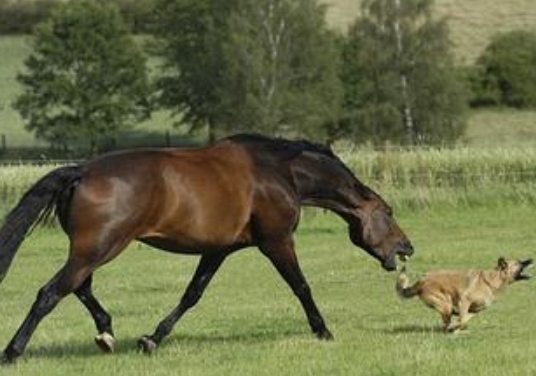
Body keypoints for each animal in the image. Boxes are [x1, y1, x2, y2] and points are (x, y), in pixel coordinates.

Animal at [0, 134, 414, 362]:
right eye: (389, 212)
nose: (407, 247)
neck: (279, 172)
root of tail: (81, 171)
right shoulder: (276, 241)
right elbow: (301, 286)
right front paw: (323, 331)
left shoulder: (219, 249)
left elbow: (192, 294)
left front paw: (151, 339)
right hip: (99, 248)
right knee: (51, 292)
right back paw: (13, 351)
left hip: (93, 249)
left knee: (78, 287)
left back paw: (106, 334)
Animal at [396, 258, 528, 330]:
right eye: (518, 263)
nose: (530, 260)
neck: (492, 280)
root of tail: (422, 280)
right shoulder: (464, 301)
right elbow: (462, 321)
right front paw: (456, 328)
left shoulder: (474, 310)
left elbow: (463, 320)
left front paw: (457, 327)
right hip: (446, 305)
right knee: (446, 322)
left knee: (446, 322)